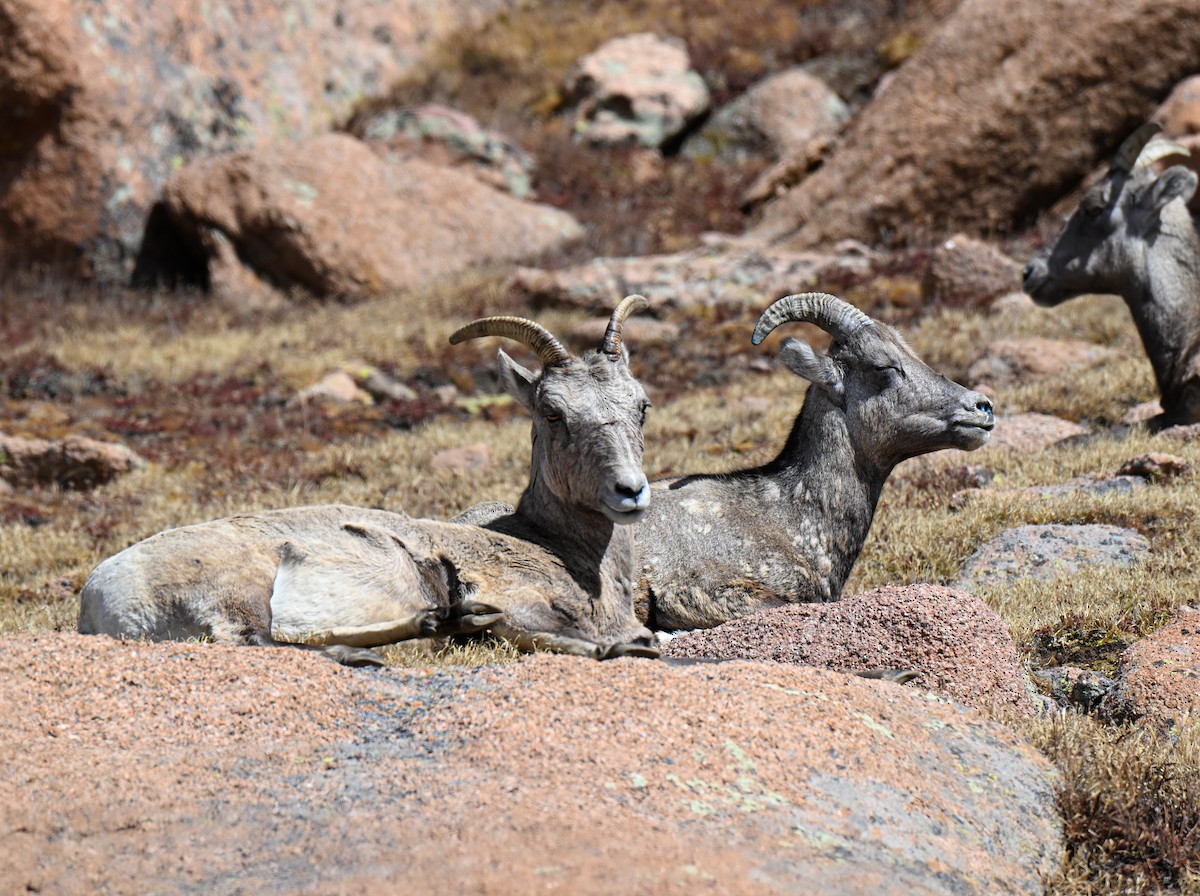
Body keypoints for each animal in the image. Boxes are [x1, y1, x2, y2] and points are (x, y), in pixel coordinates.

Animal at [78, 296, 659, 664]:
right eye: (554, 414)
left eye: (642, 405)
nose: (630, 491)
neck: (556, 549)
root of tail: (100, 600)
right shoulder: (523, 600)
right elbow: (536, 630)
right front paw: (620, 646)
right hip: (242, 589)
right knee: (266, 642)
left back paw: (436, 624)